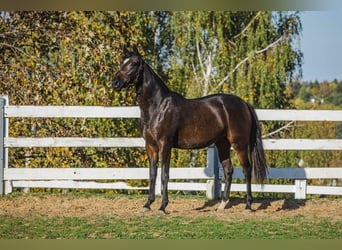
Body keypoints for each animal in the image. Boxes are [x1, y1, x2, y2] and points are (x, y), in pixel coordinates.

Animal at [112, 47, 268, 214]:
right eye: (122, 62)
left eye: (134, 64)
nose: (115, 83)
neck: (158, 106)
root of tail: (244, 103)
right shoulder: (150, 146)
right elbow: (152, 175)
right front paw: (147, 205)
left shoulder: (165, 145)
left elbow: (165, 175)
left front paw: (162, 207)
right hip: (223, 144)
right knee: (228, 171)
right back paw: (222, 205)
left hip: (240, 145)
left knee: (247, 170)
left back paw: (248, 206)